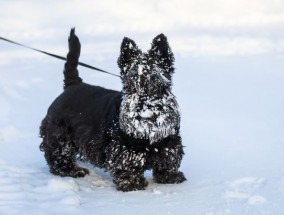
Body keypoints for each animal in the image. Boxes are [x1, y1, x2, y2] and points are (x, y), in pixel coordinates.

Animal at [40, 28, 186, 191]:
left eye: (158, 82)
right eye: (132, 84)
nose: (147, 107)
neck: (146, 133)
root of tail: (72, 85)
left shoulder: (168, 144)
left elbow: (168, 162)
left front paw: (171, 177)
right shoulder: (124, 151)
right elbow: (128, 168)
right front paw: (132, 184)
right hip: (59, 135)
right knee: (59, 156)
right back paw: (73, 170)